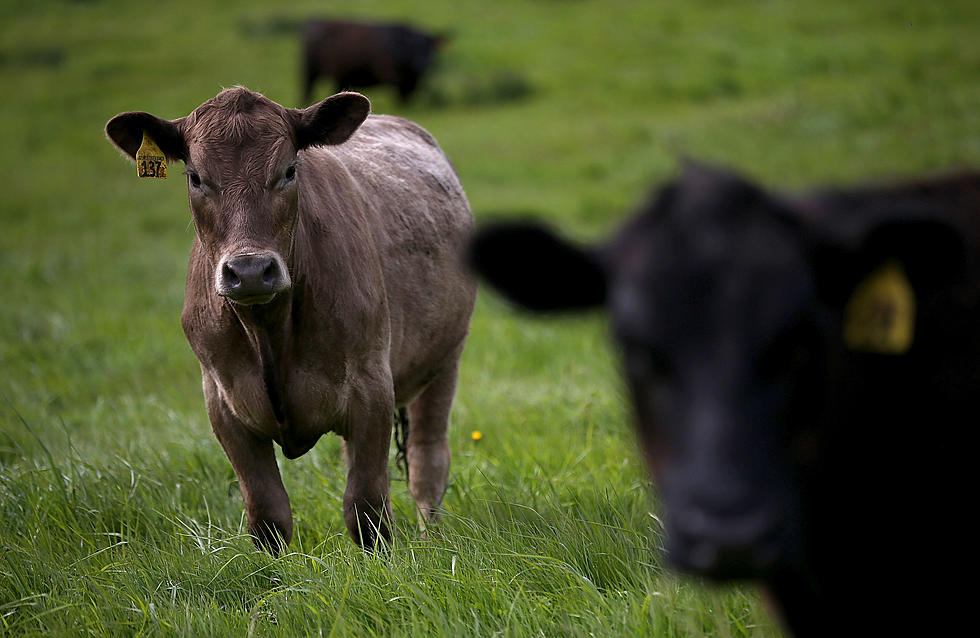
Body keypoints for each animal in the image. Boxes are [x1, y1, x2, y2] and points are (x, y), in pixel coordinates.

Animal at [105, 87, 476, 552]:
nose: (249, 270)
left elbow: (367, 507)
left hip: (445, 360)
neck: (269, 332)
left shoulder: (372, 384)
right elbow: (267, 514)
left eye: (289, 170)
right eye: (195, 177)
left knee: (428, 461)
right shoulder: (222, 401)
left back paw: (432, 539)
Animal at [300, 18, 450, 105]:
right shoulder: (391, 74)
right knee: (307, 88)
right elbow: (401, 96)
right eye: (414, 47)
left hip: (340, 74)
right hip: (309, 71)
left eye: (430, 48)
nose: (424, 63)